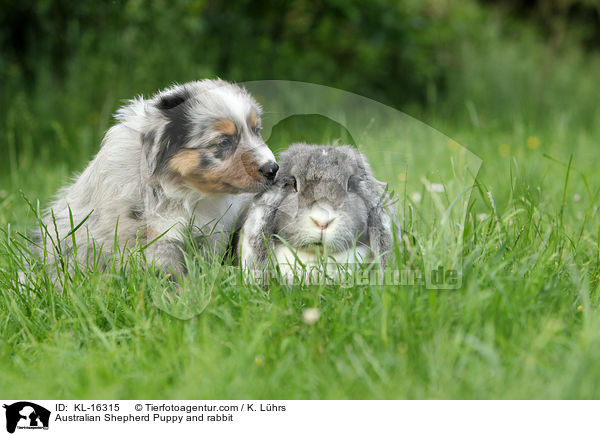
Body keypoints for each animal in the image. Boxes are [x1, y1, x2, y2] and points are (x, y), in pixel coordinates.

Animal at [31, 78, 278, 280]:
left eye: (257, 131)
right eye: (224, 142)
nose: (273, 169)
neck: (185, 191)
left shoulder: (210, 234)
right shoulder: (156, 238)